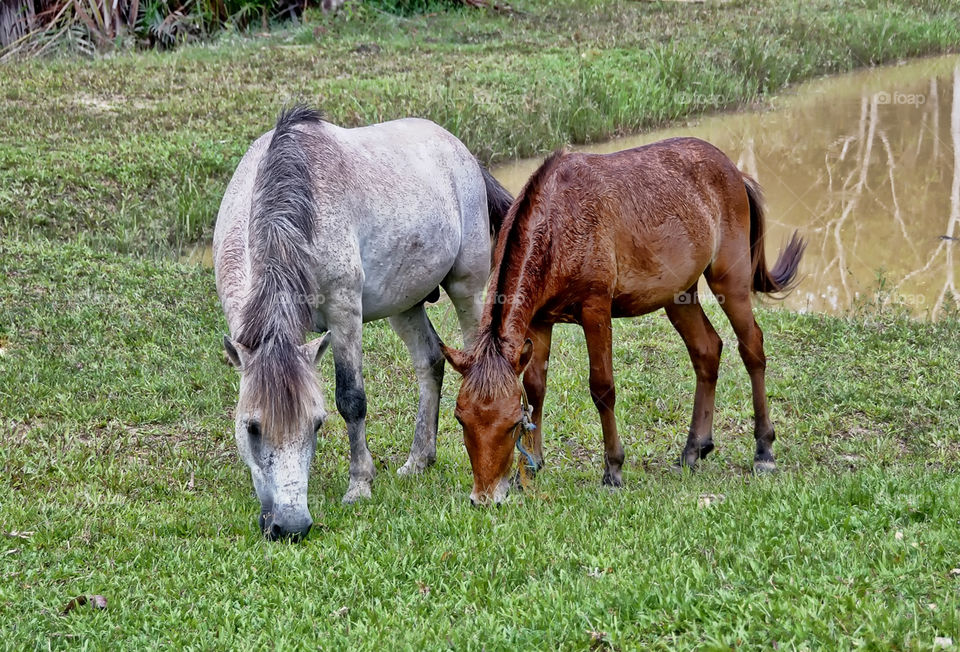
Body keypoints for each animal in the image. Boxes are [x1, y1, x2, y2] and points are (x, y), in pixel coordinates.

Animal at [210, 105, 510, 540]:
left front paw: (359, 484)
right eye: (251, 427)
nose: (291, 526)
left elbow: (351, 399)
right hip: (405, 305)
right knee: (430, 361)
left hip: (466, 290)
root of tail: (461, 152)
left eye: (317, 424)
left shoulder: (344, 313)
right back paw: (419, 460)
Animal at [442, 138, 804, 504]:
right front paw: (529, 468)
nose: (484, 497)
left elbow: (602, 388)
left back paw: (764, 450)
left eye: (512, 423)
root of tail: (735, 171)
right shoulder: (540, 322)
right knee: (707, 350)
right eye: (461, 419)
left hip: (730, 280)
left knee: (752, 348)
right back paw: (693, 449)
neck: (558, 224)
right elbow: (535, 388)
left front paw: (613, 469)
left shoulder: (596, 310)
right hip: (679, 296)